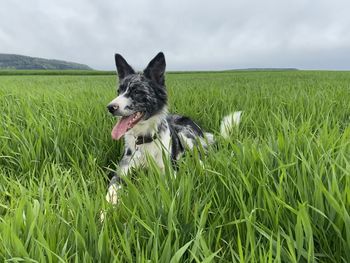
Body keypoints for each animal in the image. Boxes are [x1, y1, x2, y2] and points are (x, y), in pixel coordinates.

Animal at [103, 52, 241, 206]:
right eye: (119, 91)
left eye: (137, 91)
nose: (110, 107)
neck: (145, 139)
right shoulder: (121, 172)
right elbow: (111, 190)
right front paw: (105, 210)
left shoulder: (169, 172)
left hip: (185, 134)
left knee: (202, 159)